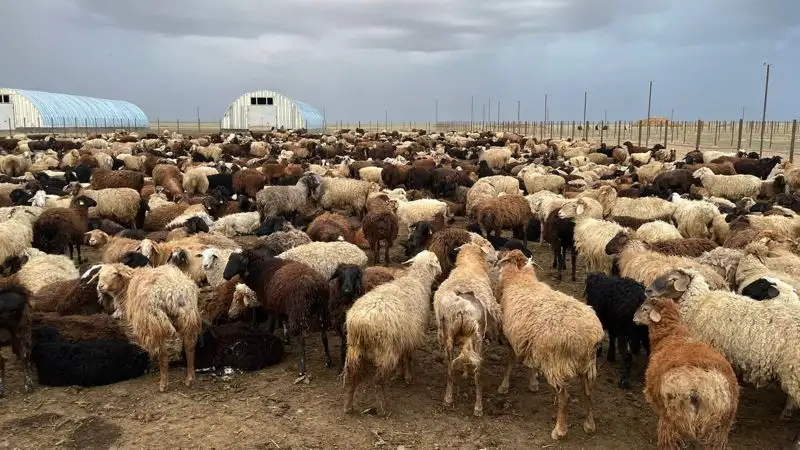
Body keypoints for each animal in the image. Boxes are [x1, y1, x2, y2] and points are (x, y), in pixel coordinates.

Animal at [344, 251, 444, 414]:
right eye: (436, 260)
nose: (441, 272)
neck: (417, 280)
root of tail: (362, 322)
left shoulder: (402, 336)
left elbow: (403, 358)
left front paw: (399, 373)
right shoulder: (412, 335)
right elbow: (408, 357)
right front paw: (408, 377)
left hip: (354, 346)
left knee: (353, 376)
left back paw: (348, 405)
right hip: (385, 349)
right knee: (378, 381)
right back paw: (383, 407)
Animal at [432, 244, 500, 416]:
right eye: (489, 245)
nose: (497, 256)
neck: (469, 265)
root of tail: (461, 307)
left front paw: (464, 371)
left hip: (449, 335)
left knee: (450, 369)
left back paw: (448, 399)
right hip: (477, 337)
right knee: (478, 372)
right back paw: (478, 407)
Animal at [494, 251, 600, 442]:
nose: (497, 255)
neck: (519, 278)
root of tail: (588, 336)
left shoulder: (511, 339)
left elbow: (511, 362)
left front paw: (504, 385)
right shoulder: (527, 340)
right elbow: (530, 364)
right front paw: (533, 382)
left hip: (554, 364)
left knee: (565, 398)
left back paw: (559, 430)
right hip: (587, 364)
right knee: (587, 393)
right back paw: (589, 425)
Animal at [632, 298, 736, 448]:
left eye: (645, 308)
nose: (633, 319)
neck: (673, 334)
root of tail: (701, 387)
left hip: (674, 415)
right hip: (720, 428)